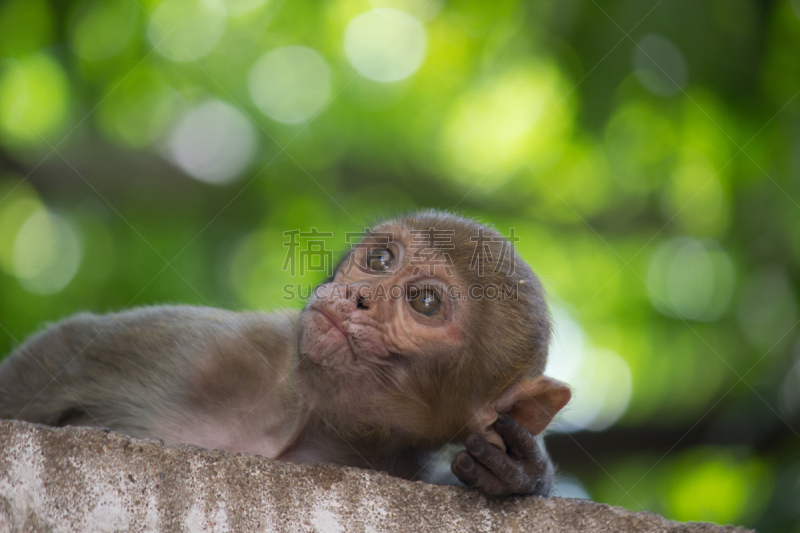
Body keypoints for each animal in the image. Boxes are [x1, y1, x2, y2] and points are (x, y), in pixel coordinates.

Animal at [3, 210, 572, 496]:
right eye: (380, 260)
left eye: (425, 302)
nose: (358, 297)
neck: (306, 419)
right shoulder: (215, 348)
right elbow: (62, 350)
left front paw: (519, 475)